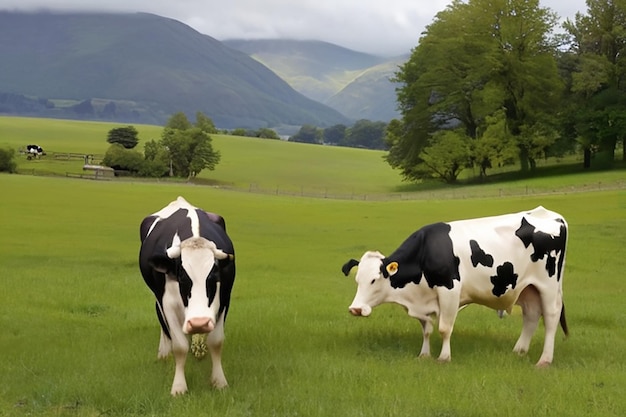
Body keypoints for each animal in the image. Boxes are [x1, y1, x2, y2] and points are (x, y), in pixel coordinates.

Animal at [138, 196, 235, 394]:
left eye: (213, 276)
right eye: (182, 277)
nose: (199, 323)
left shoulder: (225, 299)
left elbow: (216, 341)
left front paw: (219, 381)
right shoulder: (167, 303)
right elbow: (179, 346)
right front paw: (179, 387)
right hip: (158, 298)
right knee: (163, 323)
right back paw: (164, 352)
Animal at [342, 206, 564, 366]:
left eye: (374, 280)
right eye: (357, 280)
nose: (355, 309)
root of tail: (549, 214)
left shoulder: (449, 290)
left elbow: (444, 328)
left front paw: (444, 357)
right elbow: (426, 329)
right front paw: (424, 354)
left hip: (548, 286)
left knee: (551, 317)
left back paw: (544, 360)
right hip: (528, 288)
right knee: (531, 316)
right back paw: (519, 351)